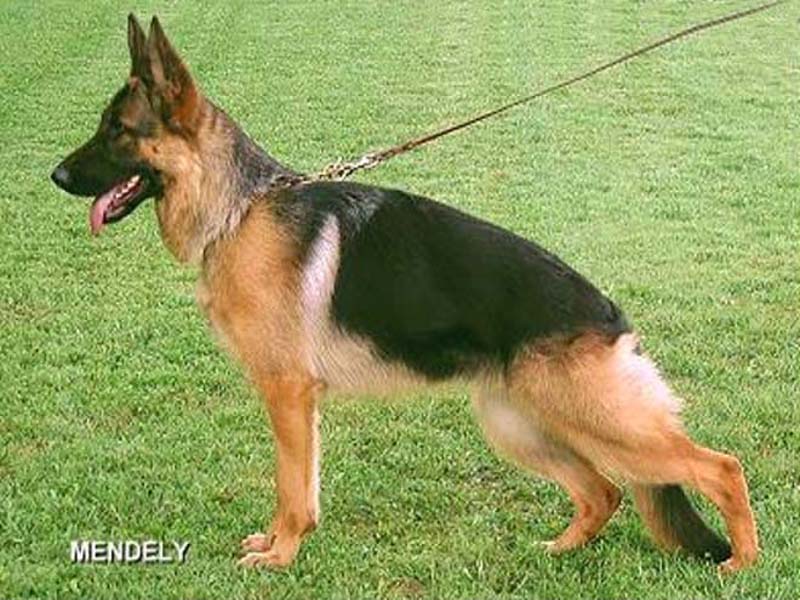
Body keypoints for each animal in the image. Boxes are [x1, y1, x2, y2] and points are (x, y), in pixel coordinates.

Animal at [51, 15, 759, 573]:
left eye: (119, 131)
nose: (54, 174)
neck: (239, 209)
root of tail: (610, 313)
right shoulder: (295, 400)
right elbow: (298, 485)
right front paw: (281, 545)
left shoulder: (287, 392)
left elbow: (291, 485)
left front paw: (281, 555)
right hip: (516, 422)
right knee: (604, 492)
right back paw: (562, 549)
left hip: (599, 421)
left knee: (720, 466)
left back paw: (742, 563)